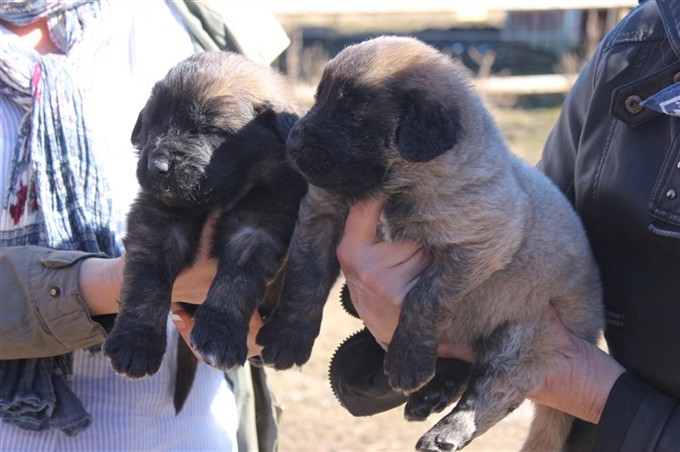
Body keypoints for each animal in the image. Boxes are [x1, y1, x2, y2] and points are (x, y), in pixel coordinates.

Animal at [102, 51, 306, 380]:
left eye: (210, 129)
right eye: (153, 123)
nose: (157, 167)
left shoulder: (260, 225)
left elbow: (236, 281)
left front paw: (219, 337)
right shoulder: (159, 220)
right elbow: (148, 278)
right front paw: (136, 343)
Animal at [258, 38, 604, 452]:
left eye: (353, 113)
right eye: (320, 98)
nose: (292, 142)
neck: (398, 187)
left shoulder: (478, 243)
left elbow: (425, 297)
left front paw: (407, 361)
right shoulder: (320, 214)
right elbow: (305, 277)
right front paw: (287, 337)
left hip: (527, 336)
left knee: (497, 389)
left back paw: (447, 430)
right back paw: (433, 393)